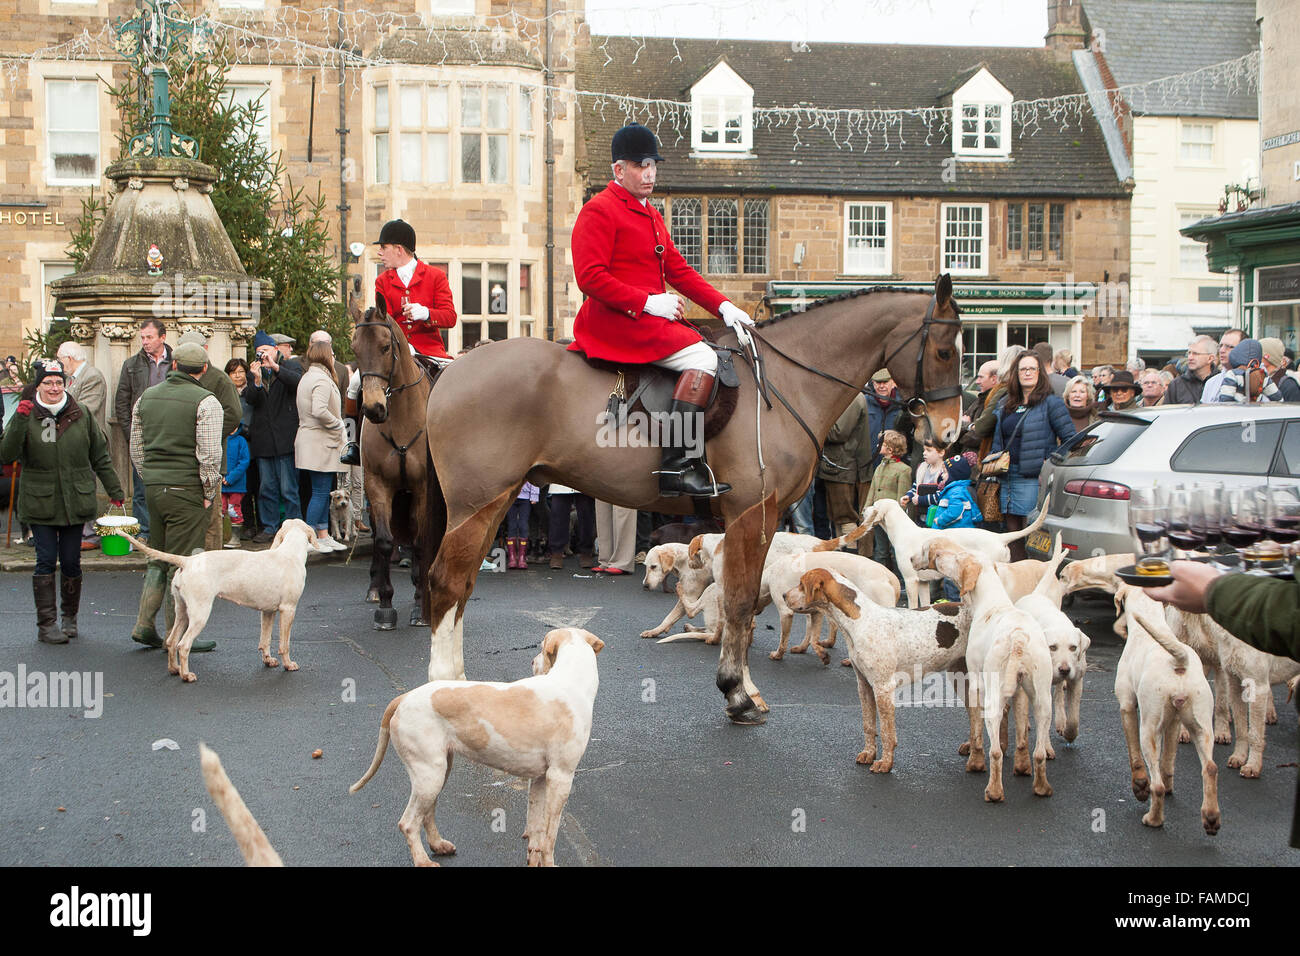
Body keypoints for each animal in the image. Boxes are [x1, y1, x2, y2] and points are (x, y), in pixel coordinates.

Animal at [348, 295, 439, 632]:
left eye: (386, 346)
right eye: (355, 348)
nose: (374, 409)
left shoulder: (423, 487)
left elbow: (421, 541)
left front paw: (420, 604)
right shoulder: (378, 485)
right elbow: (386, 541)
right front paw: (385, 605)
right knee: (380, 536)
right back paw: (375, 588)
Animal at [421, 273, 961, 723]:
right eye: (944, 351)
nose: (951, 432)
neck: (787, 385)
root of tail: (453, 369)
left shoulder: (761, 520)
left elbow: (745, 605)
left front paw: (742, 687)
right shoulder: (750, 513)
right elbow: (740, 604)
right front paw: (736, 693)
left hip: (494, 502)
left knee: (461, 586)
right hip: (477, 504)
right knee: (448, 583)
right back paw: (446, 685)